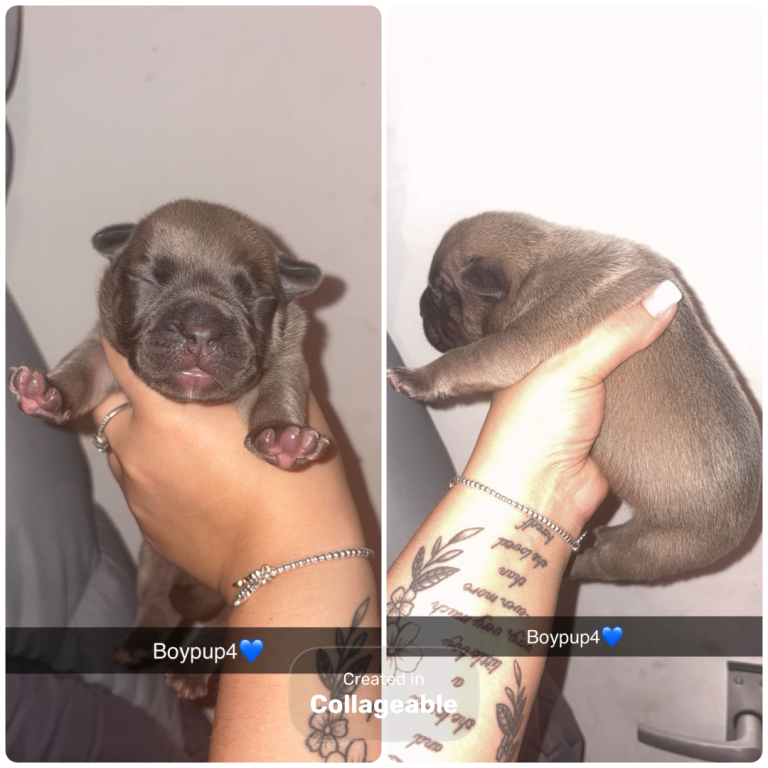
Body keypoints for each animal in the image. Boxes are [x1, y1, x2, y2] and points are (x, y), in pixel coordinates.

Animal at [9, 199, 328, 696]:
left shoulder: (288, 357)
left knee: (217, 632)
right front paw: (48, 392)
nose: (201, 329)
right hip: (153, 558)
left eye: (255, 296)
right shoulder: (102, 350)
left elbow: (279, 393)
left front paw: (281, 438)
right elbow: (80, 369)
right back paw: (139, 646)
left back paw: (192, 674)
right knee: (159, 604)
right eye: (148, 279)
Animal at [387, 211, 761, 582]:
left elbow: (462, 360)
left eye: (440, 290)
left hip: (653, 547)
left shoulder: (519, 340)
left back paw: (574, 566)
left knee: (604, 565)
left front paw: (414, 378)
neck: (536, 262)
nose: (419, 307)